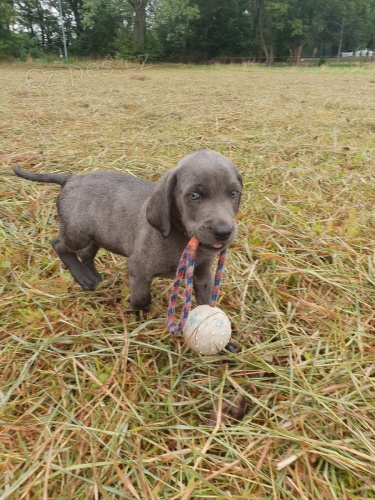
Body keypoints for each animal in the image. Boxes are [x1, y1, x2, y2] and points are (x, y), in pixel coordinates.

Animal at [12, 149, 244, 312]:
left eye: (234, 194)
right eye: (194, 196)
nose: (223, 231)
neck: (181, 237)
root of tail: (71, 178)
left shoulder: (202, 274)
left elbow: (206, 304)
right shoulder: (138, 269)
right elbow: (142, 298)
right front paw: (136, 315)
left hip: (99, 234)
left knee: (86, 254)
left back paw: (91, 275)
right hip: (78, 232)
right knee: (59, 244)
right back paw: (83, 277)